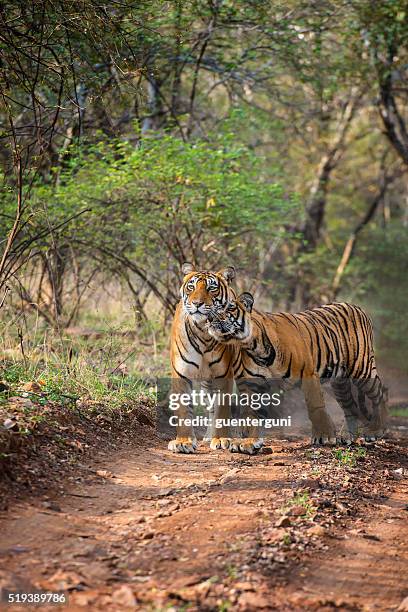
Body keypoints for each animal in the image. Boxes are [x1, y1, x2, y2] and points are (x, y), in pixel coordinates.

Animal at [168, 262, 239, 454]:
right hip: (207, 384)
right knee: (210, 407)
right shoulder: (180, 373)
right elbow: (183, 410)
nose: (197, 303)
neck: (203, 331)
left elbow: (222, 410)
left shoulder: (224, 374)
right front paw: (183, 442)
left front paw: (222, 439)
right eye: (191, 287)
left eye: (211, 288)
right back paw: (207, 436)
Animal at [207, 292, 388, 450]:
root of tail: (355, 306)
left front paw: (324, 436)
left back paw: (377, 429)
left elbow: (316, 407)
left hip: (362, 370)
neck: (254, 346)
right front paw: (248, 442)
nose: (209, 318)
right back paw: (347, 436)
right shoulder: (253, 385)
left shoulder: (308, 374)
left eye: (228, 307)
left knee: (380, 393)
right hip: (338, 382)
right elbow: (252, 415)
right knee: (350, 406)